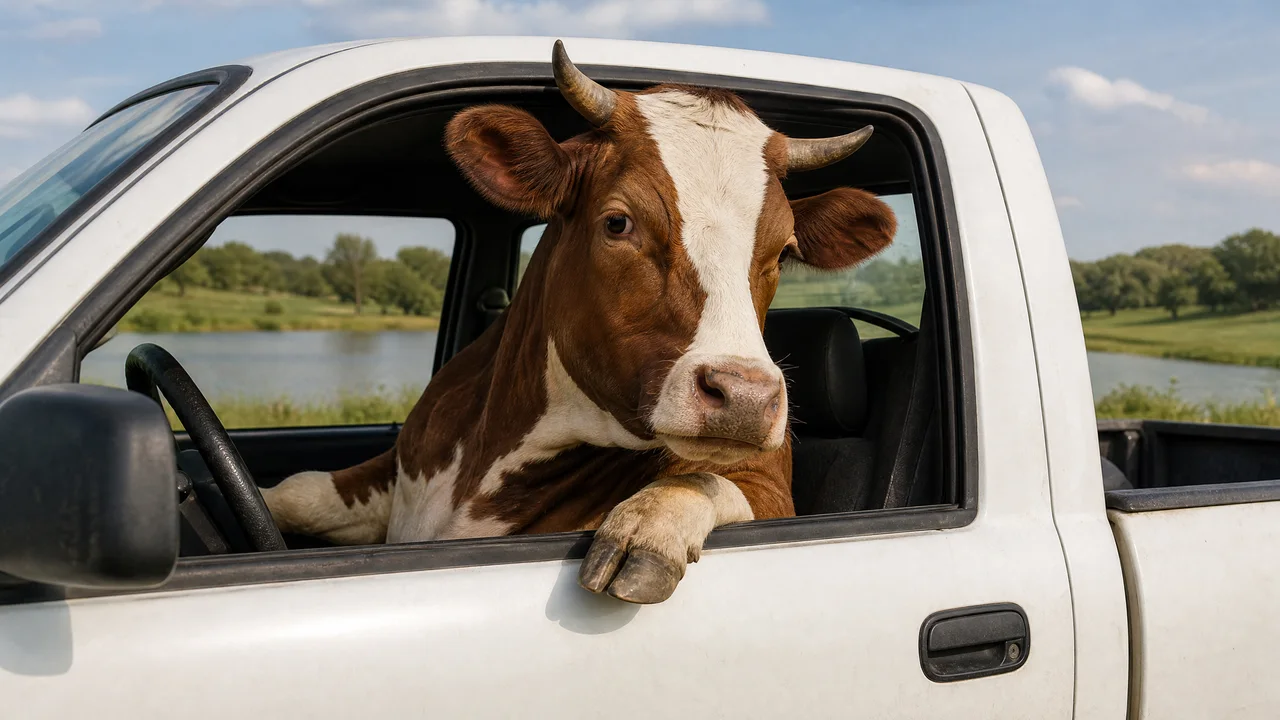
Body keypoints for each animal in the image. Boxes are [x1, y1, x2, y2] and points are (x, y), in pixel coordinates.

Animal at [261, 41, 896, 604]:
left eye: (784, 251)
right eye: (618, 222)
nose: (744, 397)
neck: (486, 462)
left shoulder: (766, 483)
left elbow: (703, 480)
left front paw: (645, 527)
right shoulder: (399, 466)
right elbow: (300, 492)